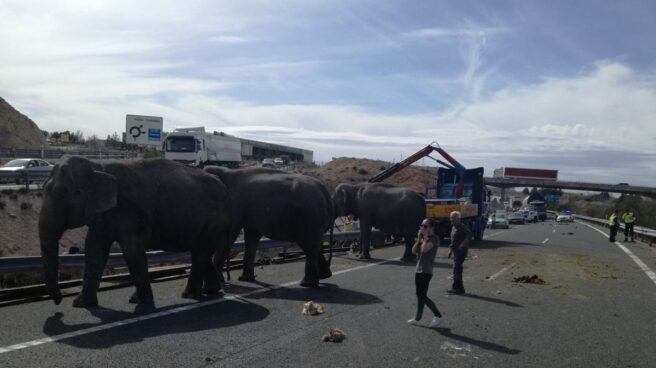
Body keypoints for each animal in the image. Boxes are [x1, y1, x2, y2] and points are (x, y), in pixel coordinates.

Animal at [39, 156, 231, 308]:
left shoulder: (130, 212)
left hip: (214, 221)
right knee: (200, 252)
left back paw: (189, 295)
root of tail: (223, 186)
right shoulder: (103, 215)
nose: (58, 301)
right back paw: (211, 290)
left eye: (71, 194)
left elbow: (132, 250)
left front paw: (141, 302)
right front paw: (81, 304)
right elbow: (94, 249)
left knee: (200, 253)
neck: (97, 166)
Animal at [204, 165, 334, 288]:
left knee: (309, 245)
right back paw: (324, 276)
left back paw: (307, 284)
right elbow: (251, 237)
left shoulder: (235, 206)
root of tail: (325, 191)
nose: (227, 279)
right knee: (313, 245)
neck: (226, 172)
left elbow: (230, 235)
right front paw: (245, 279)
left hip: (310, 217)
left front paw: (220, 280)